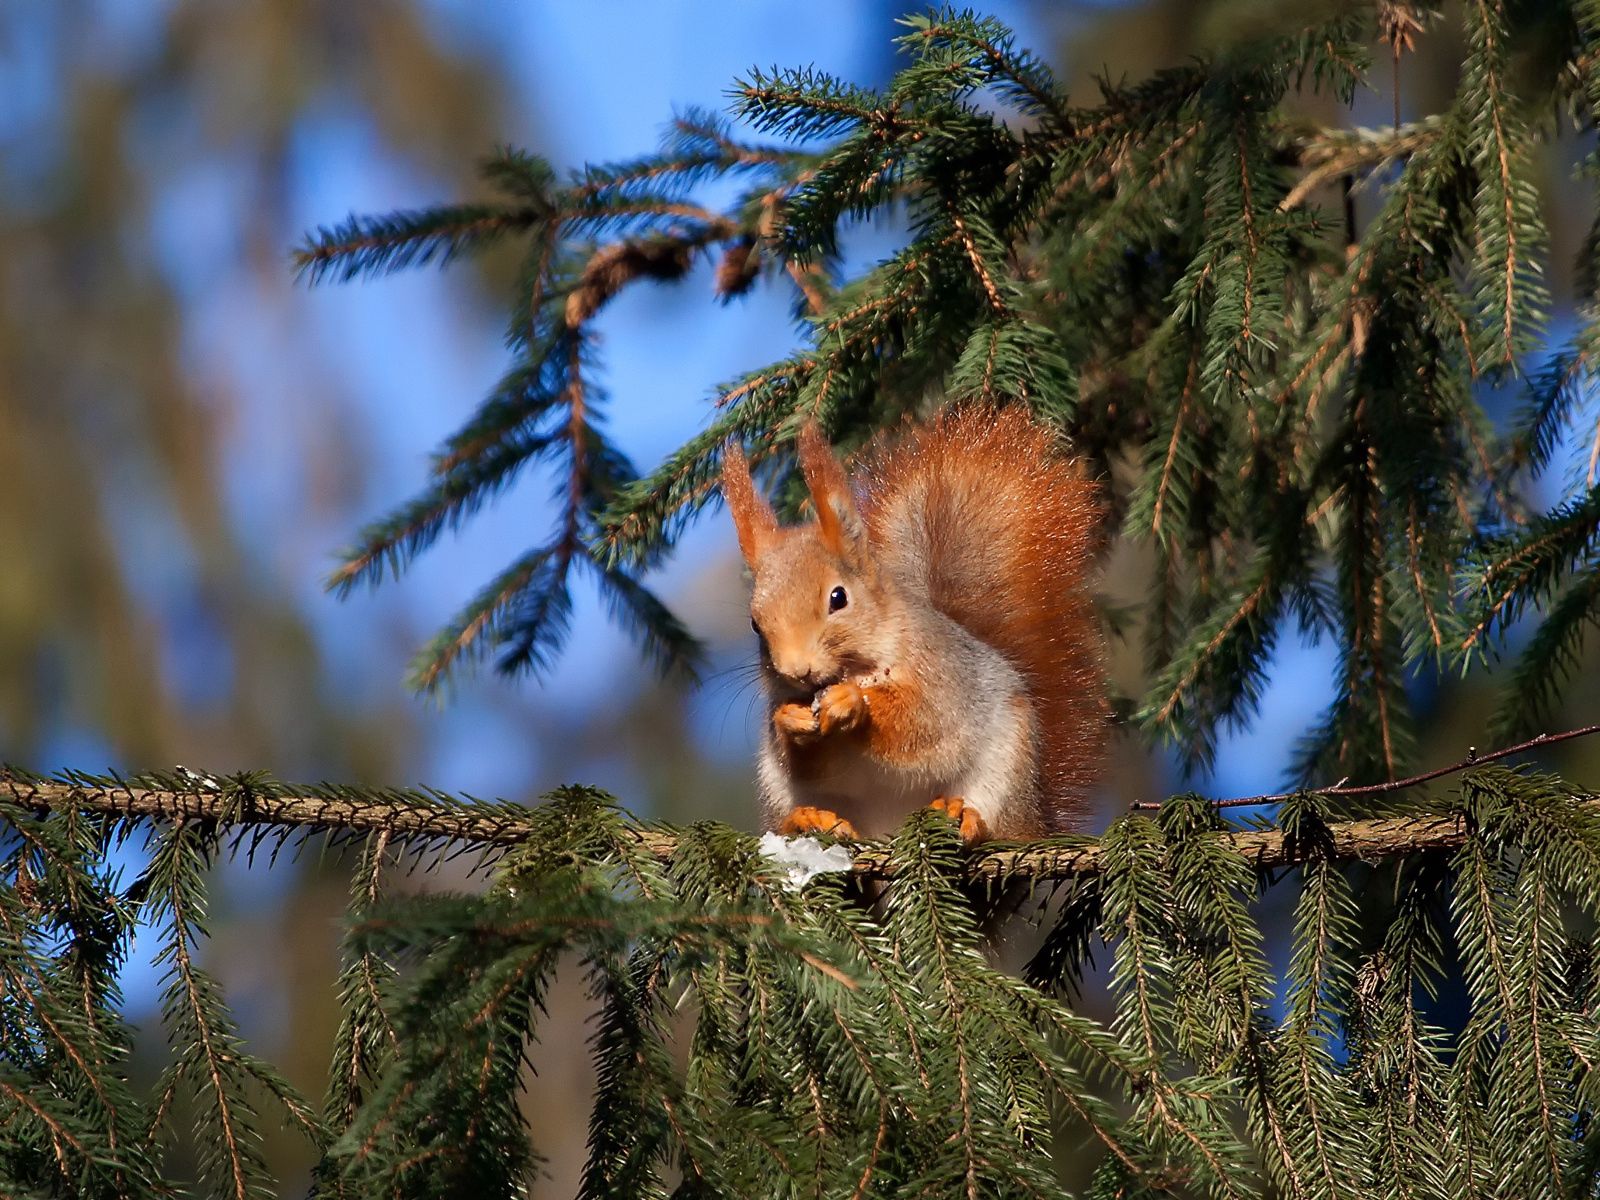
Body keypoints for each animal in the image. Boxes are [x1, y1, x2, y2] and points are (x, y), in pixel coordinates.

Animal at [723, 409, 1107, 838]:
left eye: (838, 598)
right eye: (755, 624)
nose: (797, 670)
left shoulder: (942, 677)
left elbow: (920, 725)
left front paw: (852, 703)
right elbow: (809, 764)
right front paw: (790, 720)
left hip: (1007, 770)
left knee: (997, 825)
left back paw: (965, 816)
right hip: (778, 792)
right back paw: (808, 820)